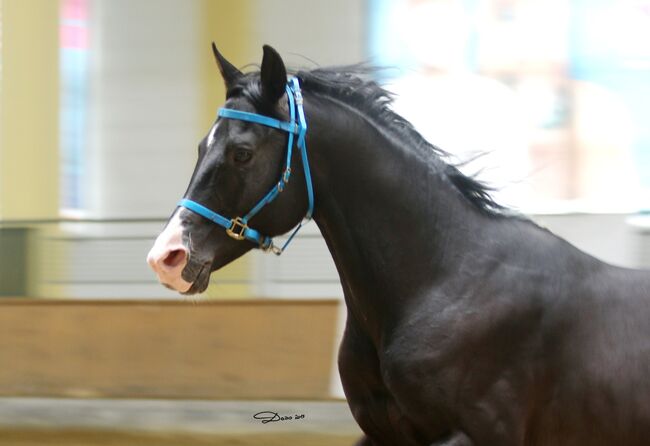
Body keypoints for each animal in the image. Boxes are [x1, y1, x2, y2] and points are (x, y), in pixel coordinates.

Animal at [146, 43, 648, 444]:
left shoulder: (480, 434)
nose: (167, 257)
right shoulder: (382, 433)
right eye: (201, 146)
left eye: (242, 153)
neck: (442, 282)